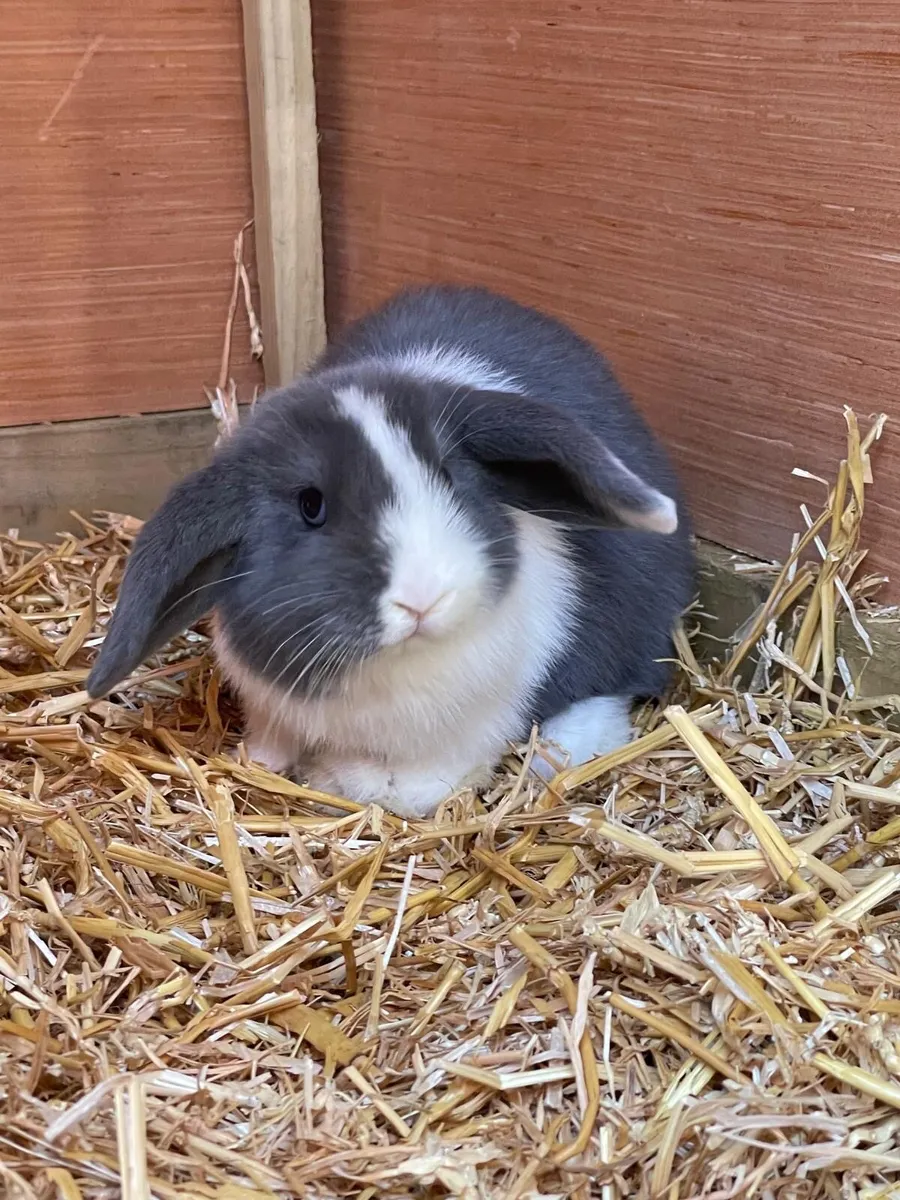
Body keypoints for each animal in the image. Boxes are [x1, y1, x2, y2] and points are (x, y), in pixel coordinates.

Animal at [87, 284, 694, 819]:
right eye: (311, 505)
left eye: (449, 475)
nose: (422, 599)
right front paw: (262, 761)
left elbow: (419, 783)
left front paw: (356, 781)